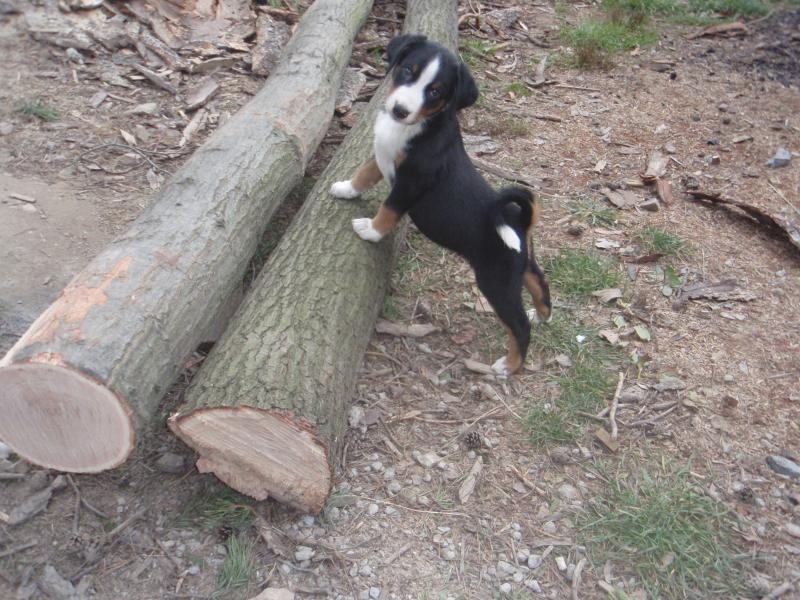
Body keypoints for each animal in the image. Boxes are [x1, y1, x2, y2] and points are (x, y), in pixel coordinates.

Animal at [330, 34, 552, 376]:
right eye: (408, 70)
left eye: (435, 91)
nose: (400, 110)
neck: (414, 127)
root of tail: (517, 221)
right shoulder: (382, 158)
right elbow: (364, 173)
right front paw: (345, 189)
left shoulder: (411, 182)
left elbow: (389, 209)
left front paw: (370, 230)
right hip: (521, 265)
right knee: (542, 287)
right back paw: (540, 315)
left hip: (495, 280)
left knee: (518, 326)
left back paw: (509, 365)